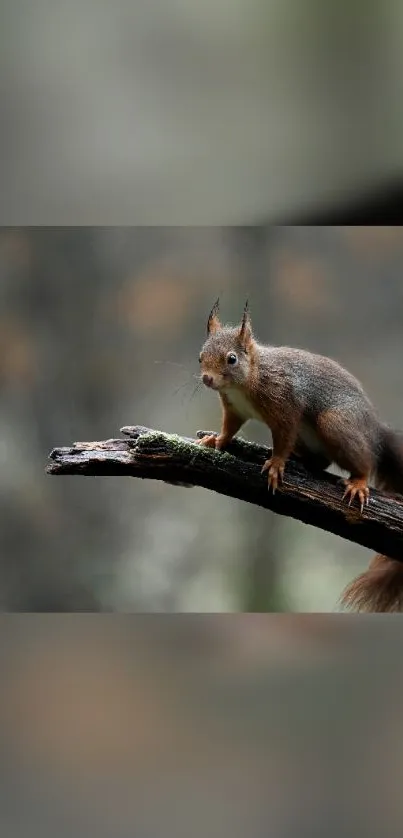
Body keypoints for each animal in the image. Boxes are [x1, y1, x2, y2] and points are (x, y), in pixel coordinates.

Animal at [197, 298, 403, 612]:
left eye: (232, 359)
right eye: (200, 357)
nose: (207, 379)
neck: (249, 378)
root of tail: (375, 429)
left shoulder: (285, 407)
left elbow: (282, 438)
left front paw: (276, 464)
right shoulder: (234, 409)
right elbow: (229, 429)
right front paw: (215, 440)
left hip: (336, 424)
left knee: (364, 460)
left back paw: (358, 482)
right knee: (321, 461)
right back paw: (302, 459)